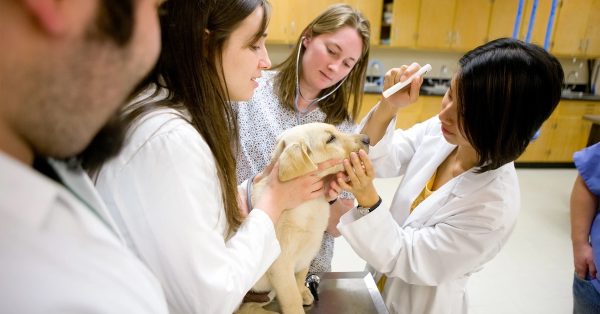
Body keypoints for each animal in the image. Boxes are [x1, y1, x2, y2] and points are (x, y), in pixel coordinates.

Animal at [237, 122, 368, 314]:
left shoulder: (306, 254)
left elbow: (299, 279)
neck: (309, 205)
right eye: (330, 139)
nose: (368, 139)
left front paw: (304, 293)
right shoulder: (281, 266)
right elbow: (291, 299)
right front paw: (297, 304)